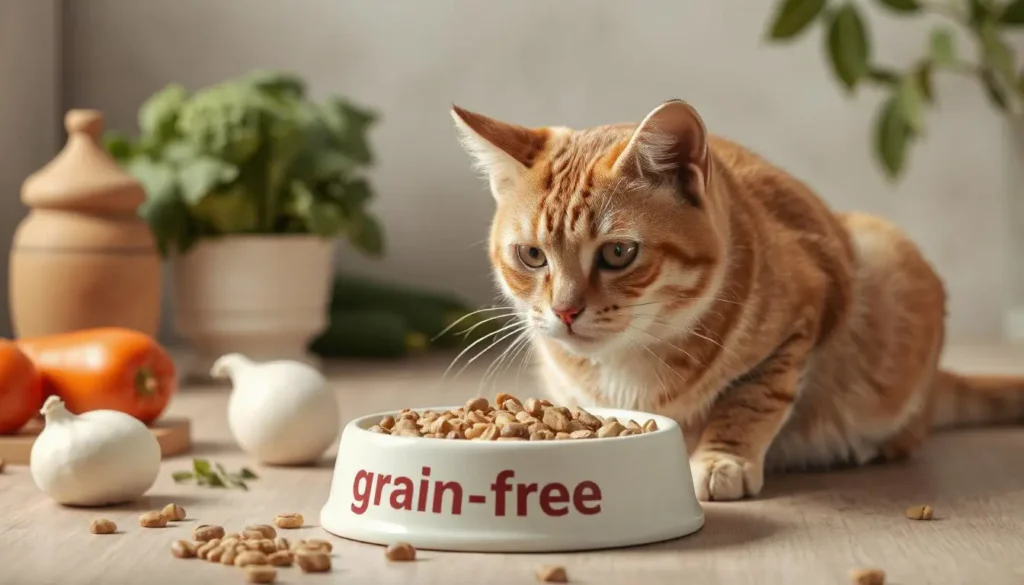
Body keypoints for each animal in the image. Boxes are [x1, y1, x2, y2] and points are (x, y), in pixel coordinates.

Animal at [452, 98, 1024, 502]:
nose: (565, 311)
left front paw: (721, 460)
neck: (629, 363)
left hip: (886, 257)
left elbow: (752, 398)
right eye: (532, 256)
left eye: (617, 252)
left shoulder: (809, 311)